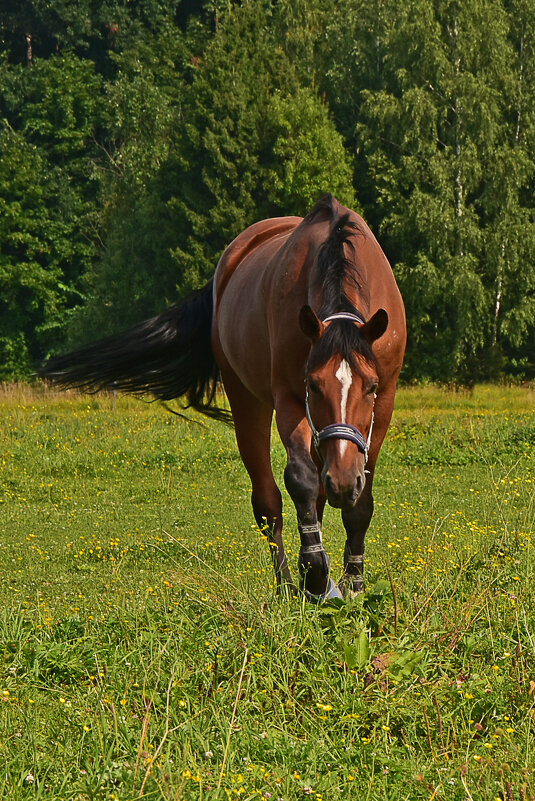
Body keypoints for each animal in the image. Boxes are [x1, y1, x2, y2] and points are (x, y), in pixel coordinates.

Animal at [38, 194, 406, 600]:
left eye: (369, 387)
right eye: (312, 385)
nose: (342, 481)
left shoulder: (384, 404)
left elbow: (361, 500)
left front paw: (353, 583)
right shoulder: (288, 398)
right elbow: (300, 481)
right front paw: (313, 573)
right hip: (247, 401)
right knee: (271, 503)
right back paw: (291, 583)